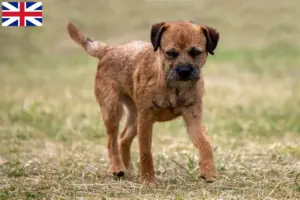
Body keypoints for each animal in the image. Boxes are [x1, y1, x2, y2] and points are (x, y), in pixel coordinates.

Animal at [67, 19, 219, 184]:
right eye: (170, 53)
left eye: (196, 52)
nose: (184, 71)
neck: (173, 87)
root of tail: (109, 49)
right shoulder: (146, 118)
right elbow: (145, 151)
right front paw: (148, 179)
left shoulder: (193, 117)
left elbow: (205, 143)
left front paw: (209, 171)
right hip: (113, 110)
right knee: (111, 141)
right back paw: (117, 168)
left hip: (134, 117)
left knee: (123, 139)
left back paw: (128, 169)